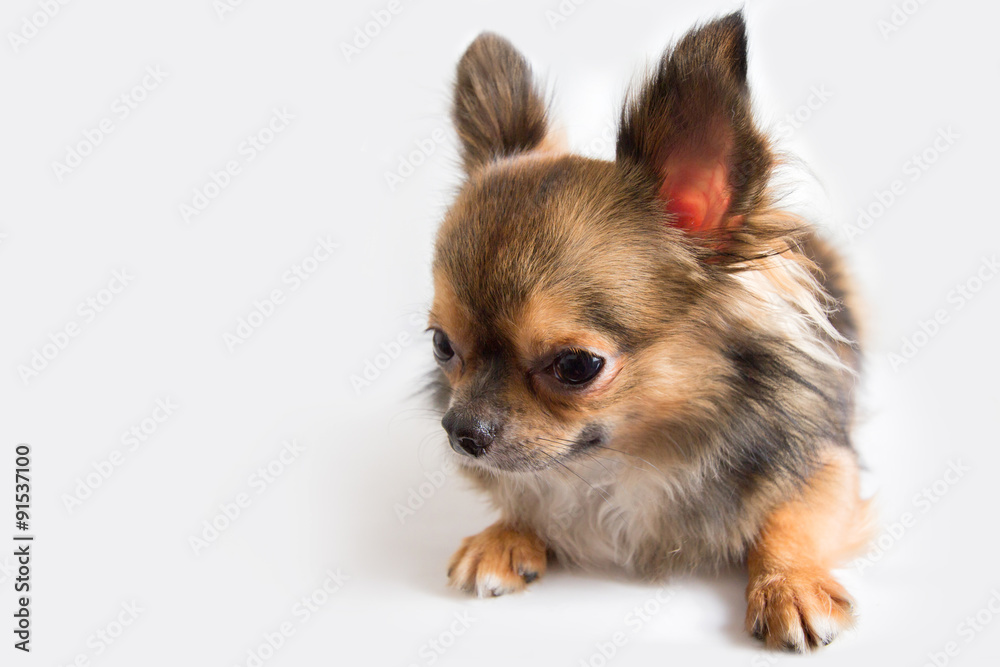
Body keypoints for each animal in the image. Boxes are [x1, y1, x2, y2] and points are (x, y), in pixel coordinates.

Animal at [426, 10, 872, 652]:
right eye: (442, 346)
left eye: (577, 366)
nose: (460, 429)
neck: (628, 461)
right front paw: (507, 532)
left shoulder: (826, 459)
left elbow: (792, 516)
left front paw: (789, 583)